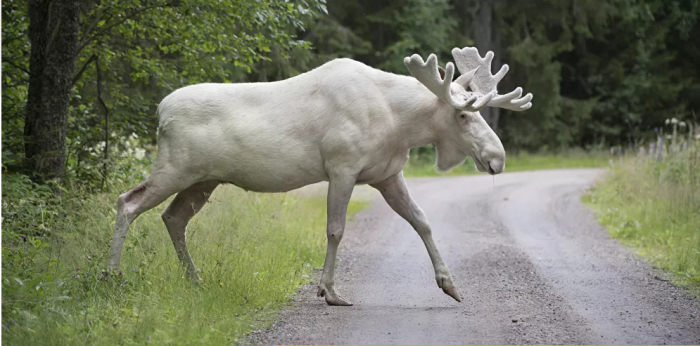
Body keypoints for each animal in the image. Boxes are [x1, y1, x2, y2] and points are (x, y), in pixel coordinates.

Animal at [108, 46, 532, 306]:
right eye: (462, 114)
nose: (497, 158)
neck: (399, 123)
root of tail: (160, 112)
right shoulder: (342, 166)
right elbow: (335, 229)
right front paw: (329, 291)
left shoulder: (387, 174)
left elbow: (423, 221)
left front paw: (450, 284)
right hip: (176, 167)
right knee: (127, 202)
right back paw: (111, 275)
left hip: (203, 179)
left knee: (173, 217)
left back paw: (194, 280)